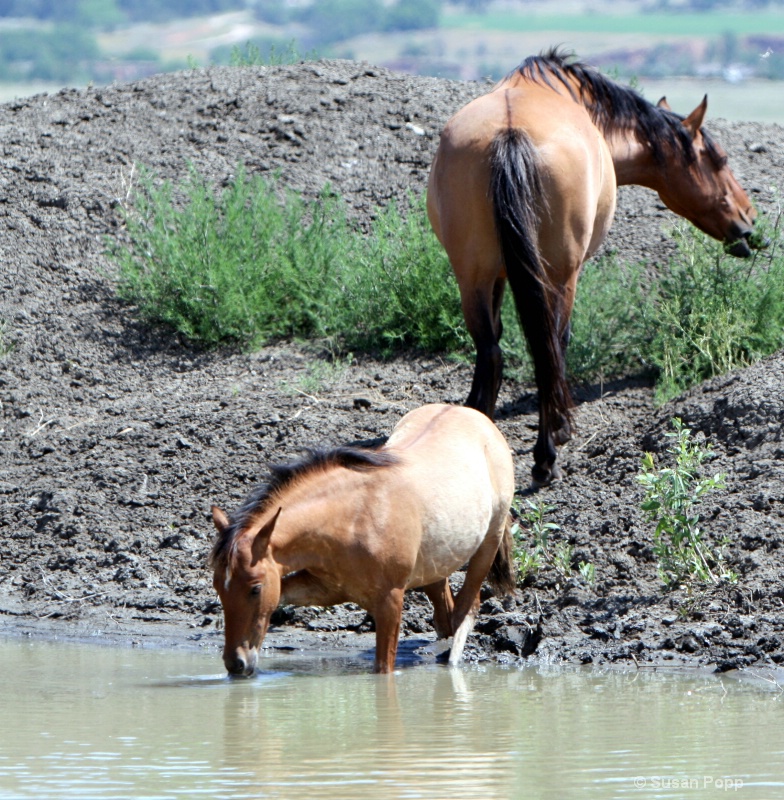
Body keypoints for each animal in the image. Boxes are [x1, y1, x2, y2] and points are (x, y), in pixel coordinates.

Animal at [208, 406, 516, 676]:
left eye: (255, 589)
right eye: (219, 588)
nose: (235, 664)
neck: (353, 518)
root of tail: (477, 417)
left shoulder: (390, 602)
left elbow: (383, 669)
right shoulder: (325, 588)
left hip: (489, 541)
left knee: (468, 607)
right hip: (436, 564)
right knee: (445, 612)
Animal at [426, 50, 764, 488]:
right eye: (718, 160)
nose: (749, 220)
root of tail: (510, 134)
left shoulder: (493, 277)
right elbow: (560, 341)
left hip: (472, 275)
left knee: (491, 352)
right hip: (558, 275)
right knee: (548, 349)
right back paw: (546, 456)